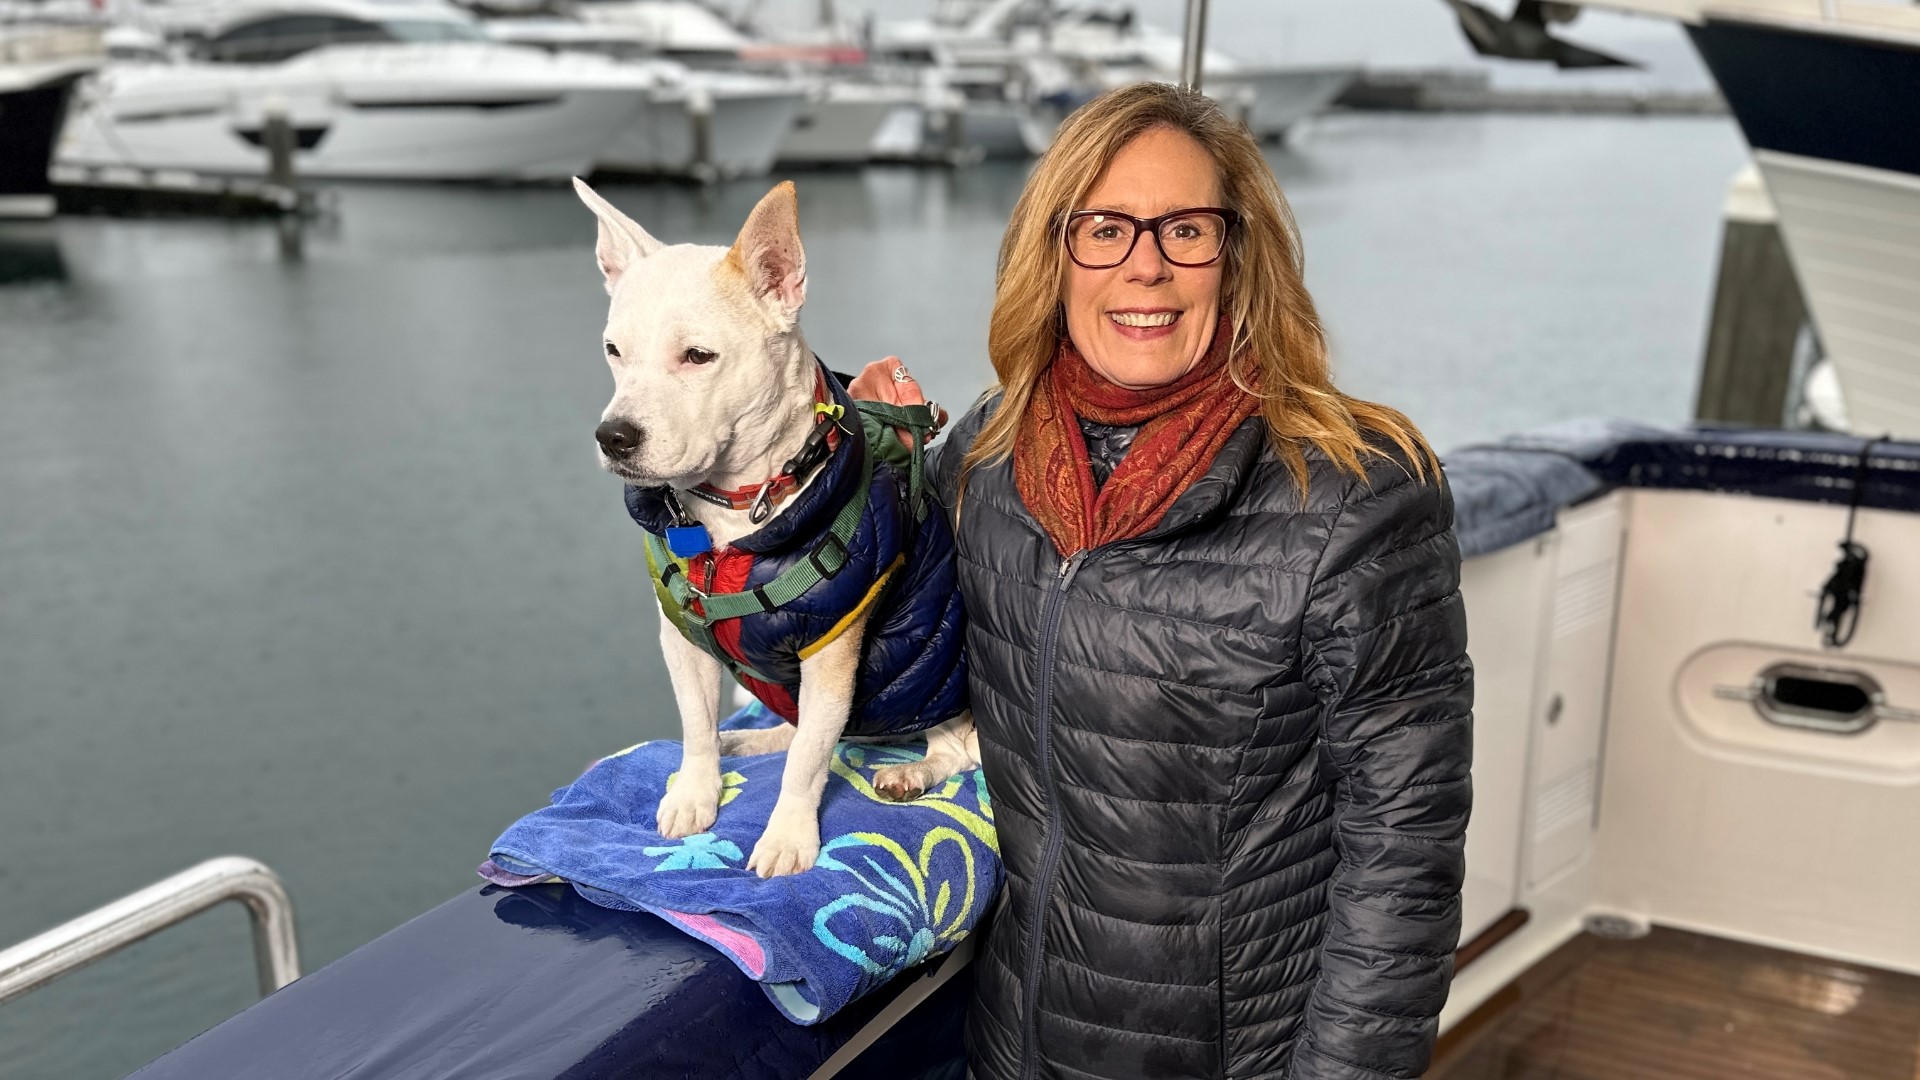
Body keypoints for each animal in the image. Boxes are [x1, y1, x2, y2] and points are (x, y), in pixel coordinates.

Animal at [572, 178, 975, 876]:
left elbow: (809, 763)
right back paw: (746, 744)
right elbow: (697, 727)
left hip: (938, 684)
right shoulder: (681, 639)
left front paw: (788, 837)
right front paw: (697, 792)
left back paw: (910, 774)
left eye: (698, 356)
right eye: (613, 350)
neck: (731, 513)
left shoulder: (830, 657)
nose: (613, 436)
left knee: (950, 750)